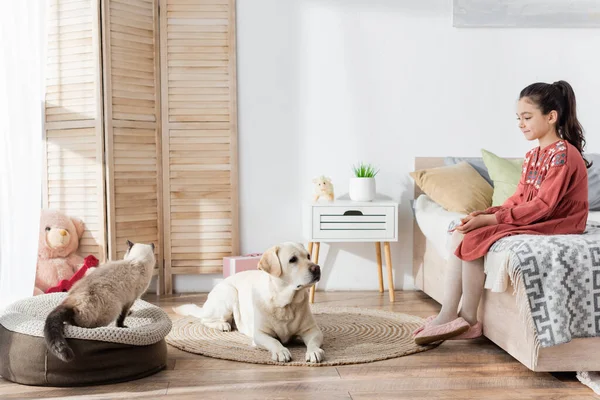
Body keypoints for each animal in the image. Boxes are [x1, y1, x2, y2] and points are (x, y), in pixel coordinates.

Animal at [173, 242, 324, 364]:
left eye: (308, 256)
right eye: (292, 260)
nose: (317, 268)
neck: (285, 303)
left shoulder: (313, 330)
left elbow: (313, 342)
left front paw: (314, 351)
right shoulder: (259, 334)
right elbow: (274, 341)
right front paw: (281, 351)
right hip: (230, 293)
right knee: (205, 319)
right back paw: (223, 324)